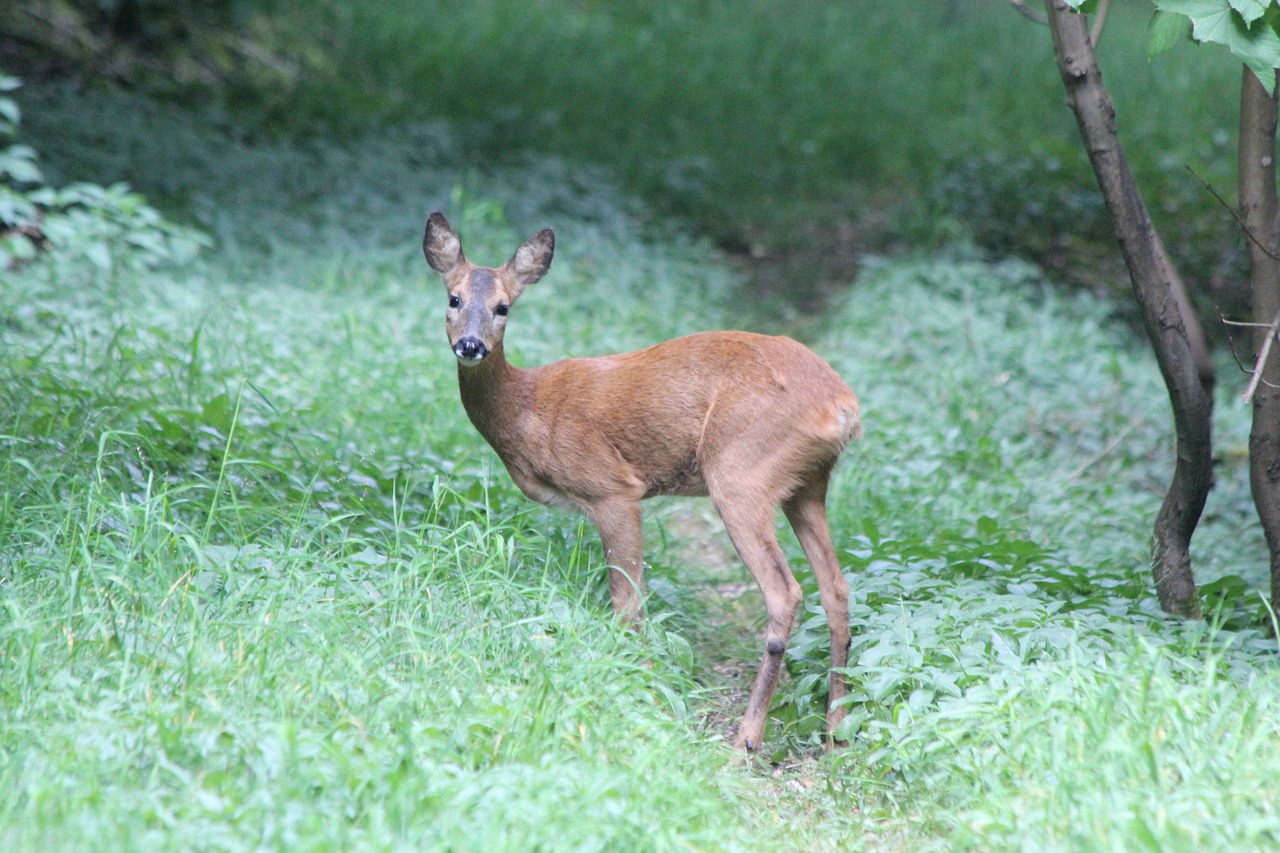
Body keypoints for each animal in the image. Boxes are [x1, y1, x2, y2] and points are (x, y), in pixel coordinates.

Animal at [422, 212, 860, 753]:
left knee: (785, 592)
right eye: (453, 298)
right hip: (807, 484)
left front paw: (643, 692)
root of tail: (841, 406)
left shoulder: (611, 488)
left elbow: (627, 603)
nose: (471, 345)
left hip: (741, 472)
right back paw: (836, 729)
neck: (529, 410)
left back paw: (746, 741)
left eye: (503, 306)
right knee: (835, 587)